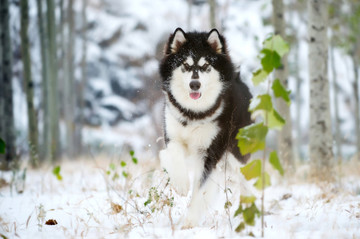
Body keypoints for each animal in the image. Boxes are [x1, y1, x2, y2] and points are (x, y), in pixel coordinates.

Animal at [159, 28, 252, 228]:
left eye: (206, 66)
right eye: (185, 65)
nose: (195, 84)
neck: (194, 114)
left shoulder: (211, 153)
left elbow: (200, 190)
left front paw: (189, 222)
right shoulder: (172, 137)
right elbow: (171, 155)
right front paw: (181, 184)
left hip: (235, 155)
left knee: (246, 180)